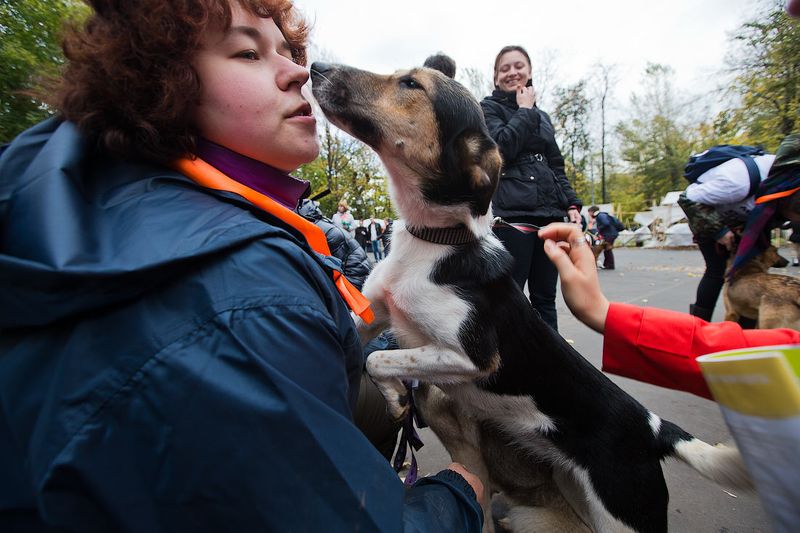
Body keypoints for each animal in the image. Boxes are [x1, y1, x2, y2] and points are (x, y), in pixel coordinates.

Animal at [310, 63, 752, 532]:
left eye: (411, 84)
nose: (316, 67)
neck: (436, 242)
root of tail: (651, 428)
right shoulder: (372, 315)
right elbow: (370, 350)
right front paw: (393, 395)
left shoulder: (474, 357)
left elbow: (380, 357)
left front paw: (395, 393)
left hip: (625, 514)